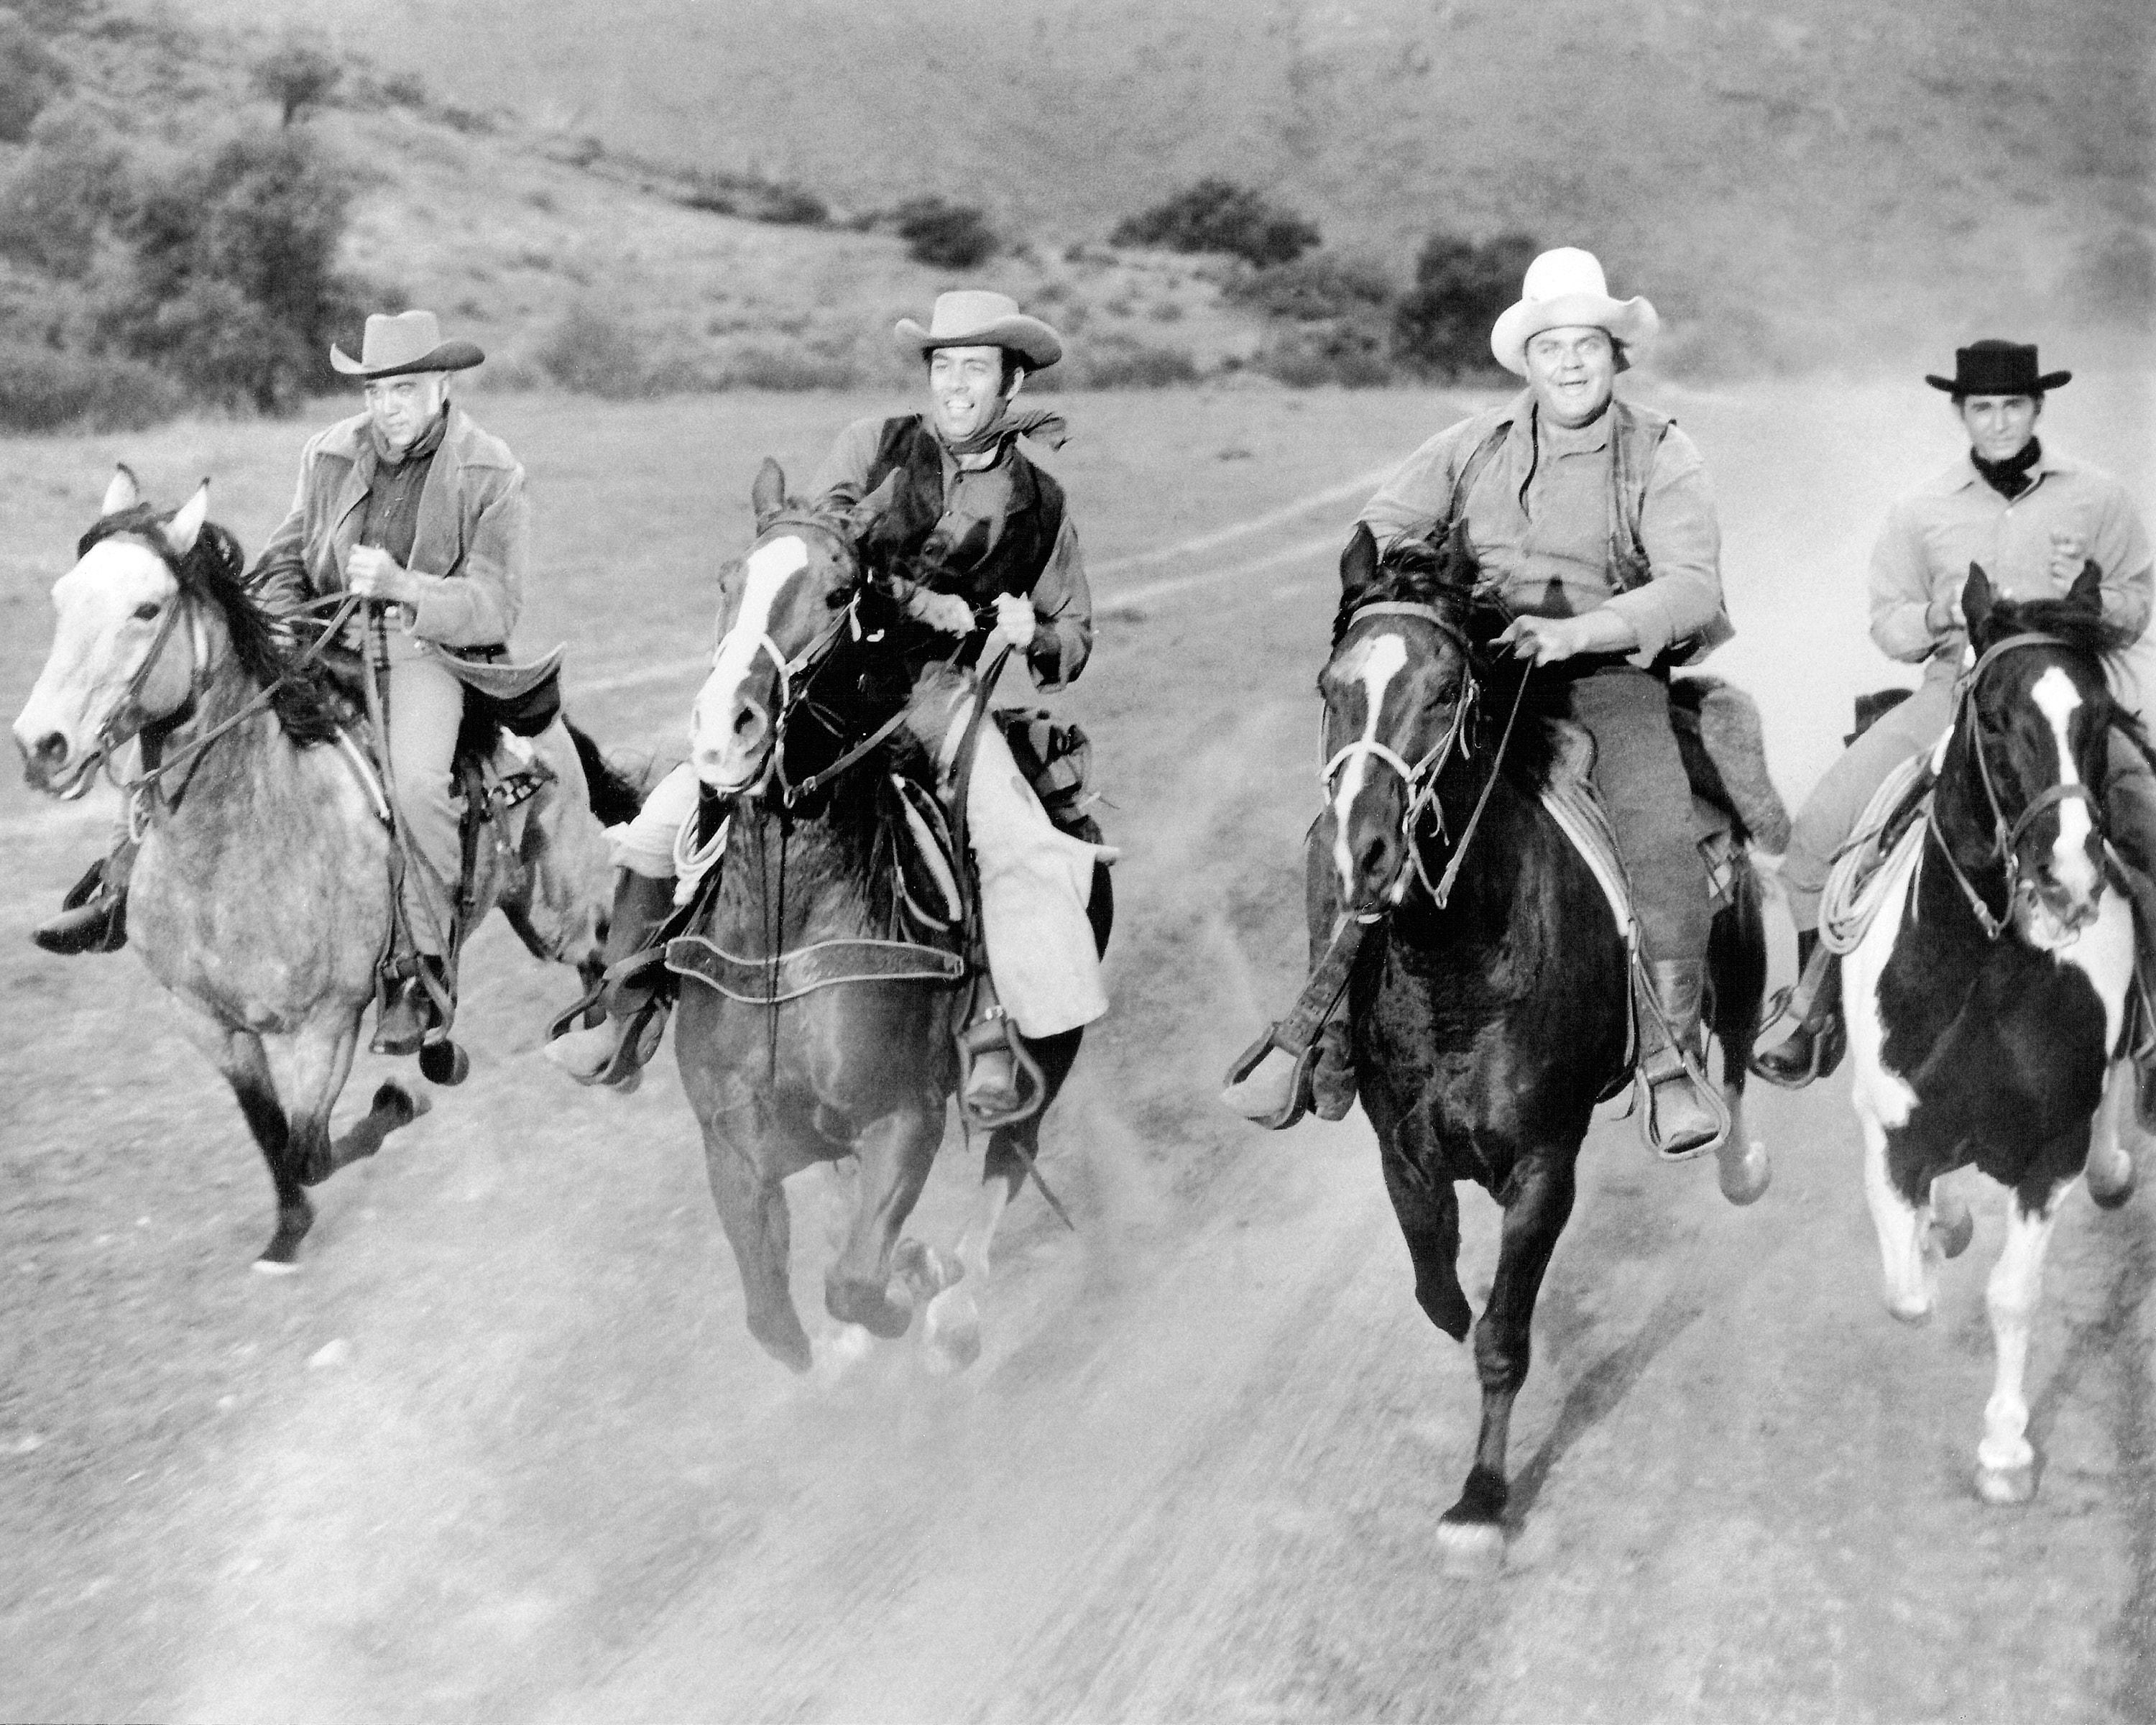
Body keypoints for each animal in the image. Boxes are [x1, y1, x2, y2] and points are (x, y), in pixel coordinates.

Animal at [14, 468, 630, 1268]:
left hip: (556, 907)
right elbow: (271, 1133)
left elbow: (310, 1147)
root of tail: (536, 719)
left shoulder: (327, 1024)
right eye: (62, 599)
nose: (41, 744)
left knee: (597, 950)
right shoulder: (209, 1023)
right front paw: (287, 1230)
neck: (232, 851)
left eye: (147, 609)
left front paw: (401, 1099)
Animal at [673, 461, 1112, 1371]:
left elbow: (854, 1282)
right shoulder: (733, 1139)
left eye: (842, 593)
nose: (726, 730)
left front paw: (914, 1284)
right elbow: (773, 1319)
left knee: (1013, 1154)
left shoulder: (906, 1114)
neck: (787, 943)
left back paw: (956, 1307)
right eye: (728, 580)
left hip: (1046, 1051)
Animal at [1846, 569, 2147, 1509]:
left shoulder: (2049, 1153)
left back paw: (2114, 1168)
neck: (1976, 986)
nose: (2070, 878)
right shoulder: (1890, 1132)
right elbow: (1905, 1291)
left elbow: (2013, 1297)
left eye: (2099, 715)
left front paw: (2006, 1449)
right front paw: (1932, 1239)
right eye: (1991, 716)